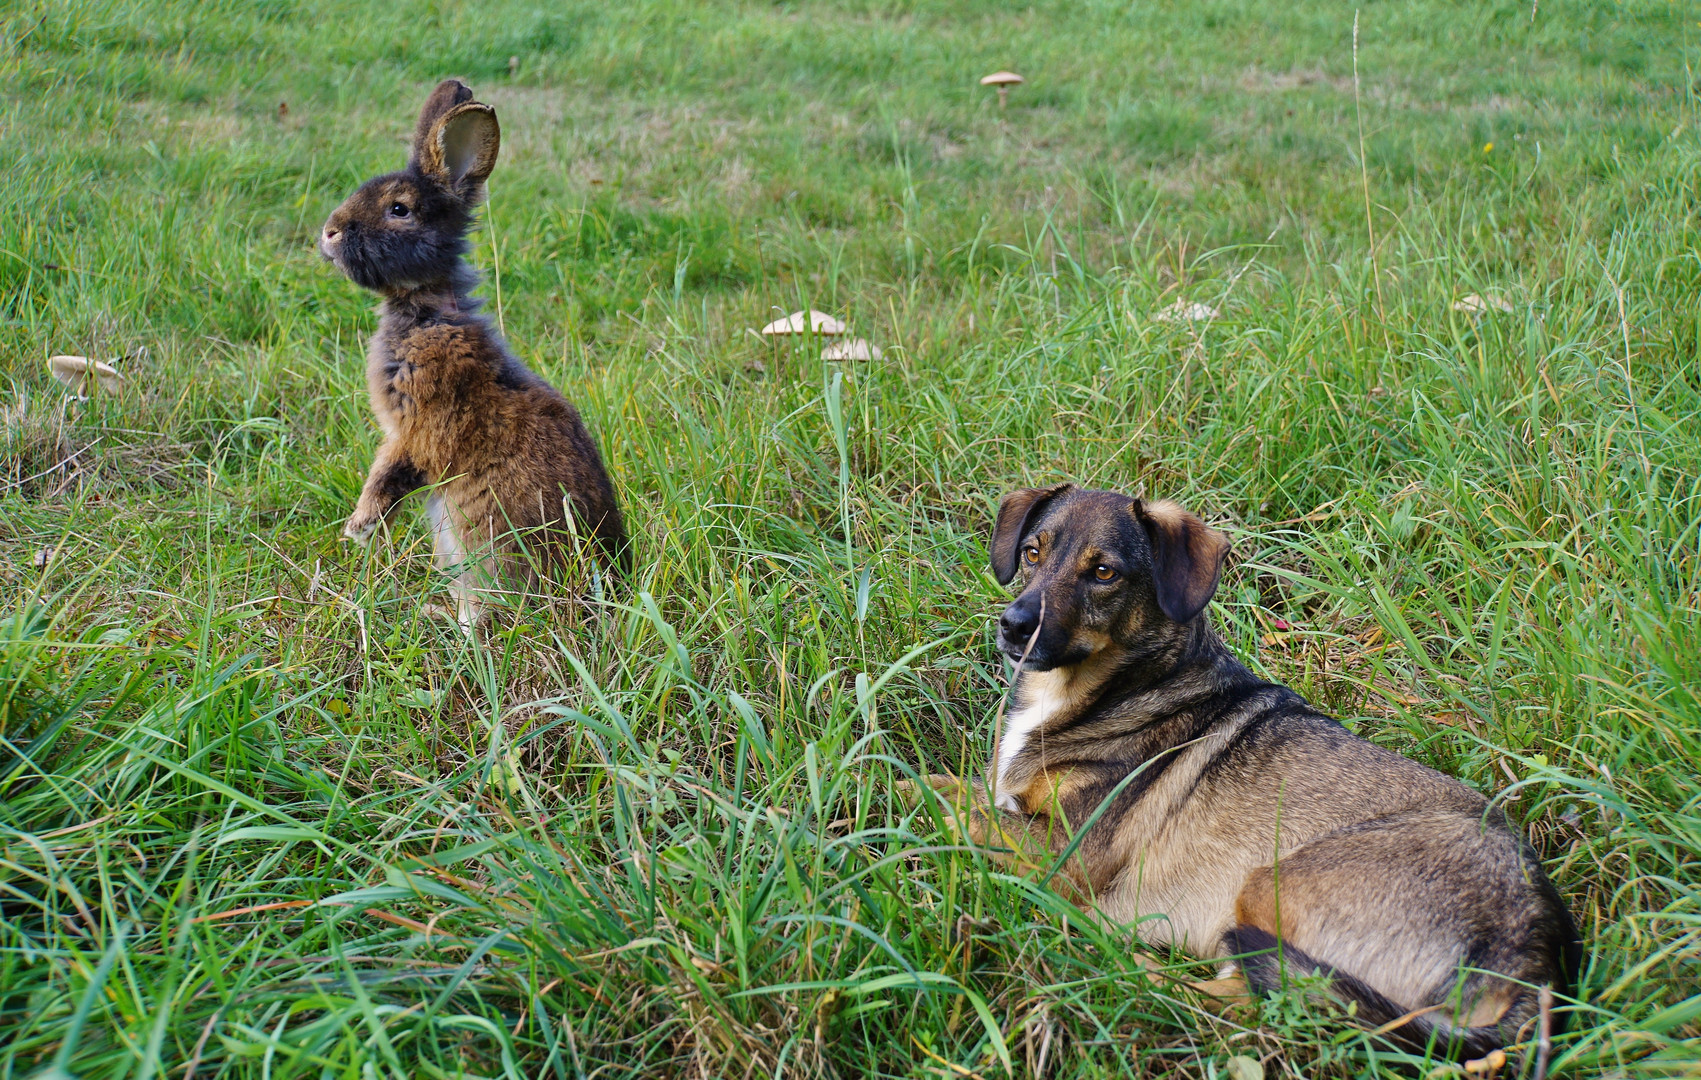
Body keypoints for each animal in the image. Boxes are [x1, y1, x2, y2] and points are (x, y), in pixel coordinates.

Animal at [318, 80, 625, 629]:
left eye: (400, 210)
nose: (329, 232)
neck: (429, 310)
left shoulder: (414, 431)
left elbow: (388, 473)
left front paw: (359, 528)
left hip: (482, 549)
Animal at [911, 486, 1585, 1061]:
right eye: (1032, 552)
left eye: (1104, 573)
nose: (1014, 625)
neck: (1112, 689)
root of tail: (1538, 961)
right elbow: (953, 788)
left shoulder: (1065, 852)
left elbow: (942, 802)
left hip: (1270, 886)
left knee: (1234, 1001)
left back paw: (1109, 957)